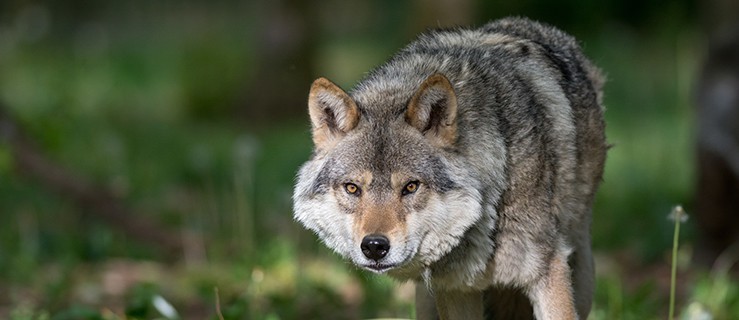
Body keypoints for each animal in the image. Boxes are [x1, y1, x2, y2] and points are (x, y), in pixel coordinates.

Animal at [290, 17, 608, 320]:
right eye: (352, 188)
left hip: (582, 281)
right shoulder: (454, 289)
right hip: (426, 300)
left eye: (411, 186)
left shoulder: (547, 273)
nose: (374, 246)